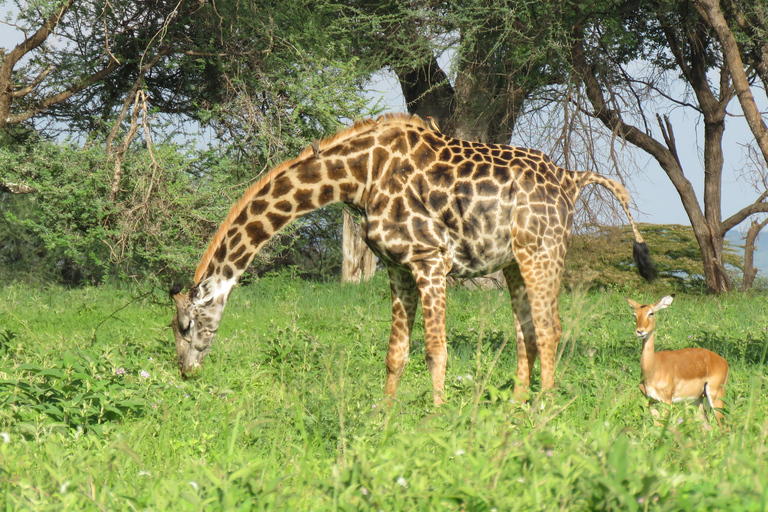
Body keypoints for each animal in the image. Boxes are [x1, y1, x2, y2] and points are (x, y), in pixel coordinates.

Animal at [171, 112, 656, 404]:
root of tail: (572, 178)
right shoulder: (396, 266)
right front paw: (383, 419)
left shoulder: (431, 260)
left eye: (185, 325)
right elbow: (396, 353)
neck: (360, 176)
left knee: (552, 329)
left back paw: (543, 409)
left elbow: (436, 351)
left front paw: (437, 420)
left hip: (543, 251)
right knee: (529, 334)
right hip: (515, 262)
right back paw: (516, 408)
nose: (185, 371)